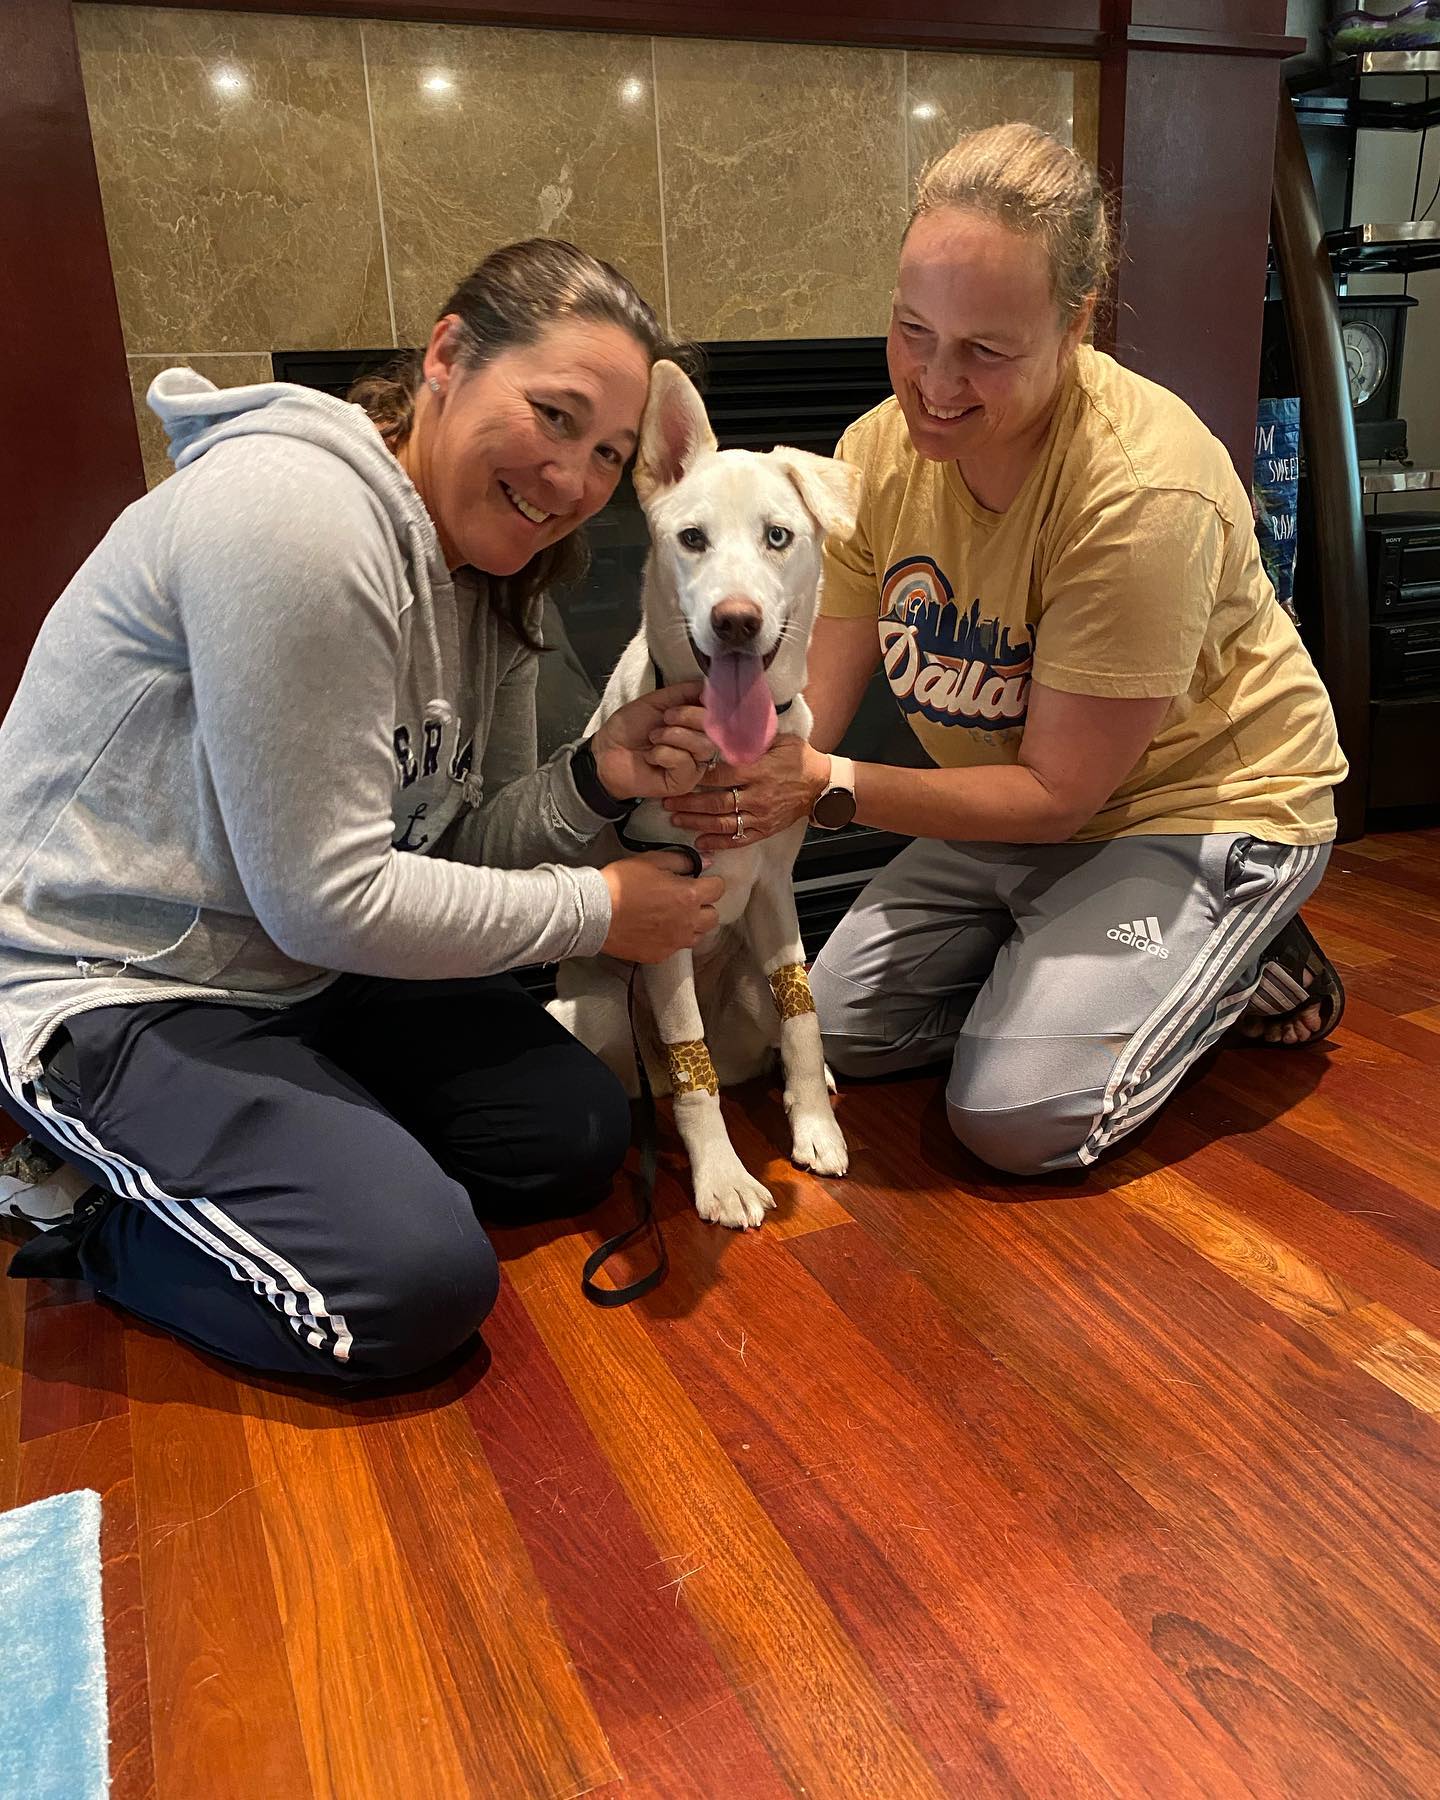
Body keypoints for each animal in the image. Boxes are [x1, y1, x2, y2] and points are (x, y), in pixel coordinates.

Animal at [554, 358, 860, 1231]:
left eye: (778, 536)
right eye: (691, 539)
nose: (736, 621)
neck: (723, 756)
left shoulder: (776, 892)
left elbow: (804, 1017)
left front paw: (816, 1126)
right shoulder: (664, 923)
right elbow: (698, 1082)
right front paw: (721, 1178)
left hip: (749, 985)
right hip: (595, 1012)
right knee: (665, 1075)